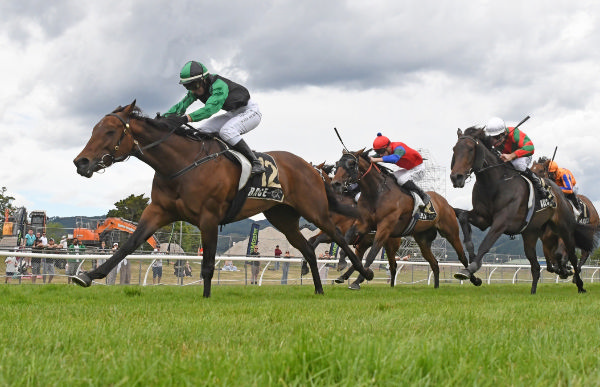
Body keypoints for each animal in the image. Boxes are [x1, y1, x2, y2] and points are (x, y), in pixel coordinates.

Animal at [72, 101, 372, 298]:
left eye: (110, 132)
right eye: (93, 130)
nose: (80, 162)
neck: (181, 164)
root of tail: (312, 168)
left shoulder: (209, 217)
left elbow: (208, 264)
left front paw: (206, 298)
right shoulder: (158, 211)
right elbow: (128, 244)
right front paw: (87, 275)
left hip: (314, 209)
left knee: (337, 236)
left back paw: (361, 274)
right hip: (282, 218)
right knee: (308, 248)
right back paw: (318, 289)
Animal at [330, 150, 480, 290]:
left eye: (351, 164)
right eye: (337, 164)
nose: (335, 184)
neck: (377, 193)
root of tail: (447, 204)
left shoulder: (384, 228)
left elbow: (371, 254)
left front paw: (359, 279)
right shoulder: (364, 224)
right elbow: (346, 240)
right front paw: (342, 263)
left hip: (450, 232)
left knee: (461, 256)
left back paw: (471, 277)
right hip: (422, 240)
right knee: (433, 263)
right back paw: (435, 287)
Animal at [450, 127, 596, 294]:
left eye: (470, 149)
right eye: (454, 149)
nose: (456, 177)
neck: (495, 183)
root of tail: (560, 193)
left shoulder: (502, 222)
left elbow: (486, 244)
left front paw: (469, 269)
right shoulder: (483, 219)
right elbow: (463, 216)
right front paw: (472, 258)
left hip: (564, 228)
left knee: (572, 255)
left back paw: (579, 284)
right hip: (530, 233)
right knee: (536, 266)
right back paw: (533, 292)